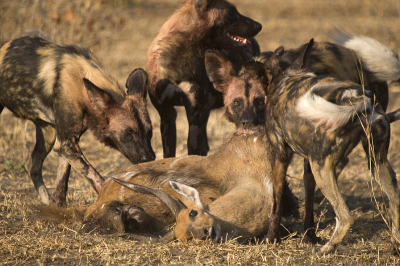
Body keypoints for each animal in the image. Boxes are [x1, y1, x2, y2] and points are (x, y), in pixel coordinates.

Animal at [0, 35, 155, 206]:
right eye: (128, 133)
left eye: (149, 133)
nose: (150, 158)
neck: (81, 84)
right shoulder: (67, 145)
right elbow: (98, 179)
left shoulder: (65, 145)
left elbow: (62, 184)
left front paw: (58, 208)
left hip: (49, 134)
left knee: (33, 166)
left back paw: (46, 202)